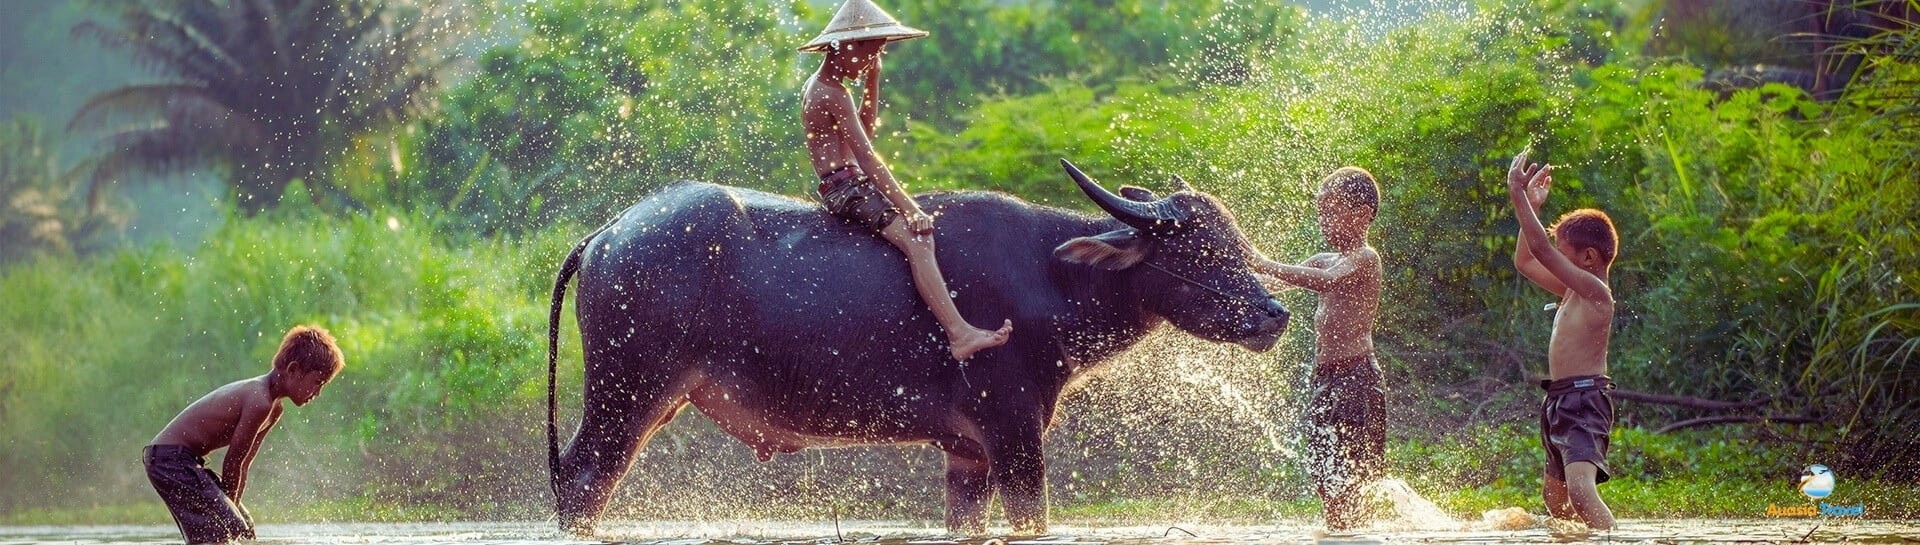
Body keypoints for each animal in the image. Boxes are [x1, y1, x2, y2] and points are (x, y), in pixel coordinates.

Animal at [547, 160, 1288, 534]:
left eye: (1235, 240)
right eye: (1198, 251)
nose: (1274, 314)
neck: (1047, 275)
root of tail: (609, 232)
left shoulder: (969, 453)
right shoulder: (1015, 431)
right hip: (624, 394)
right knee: (583, 481)